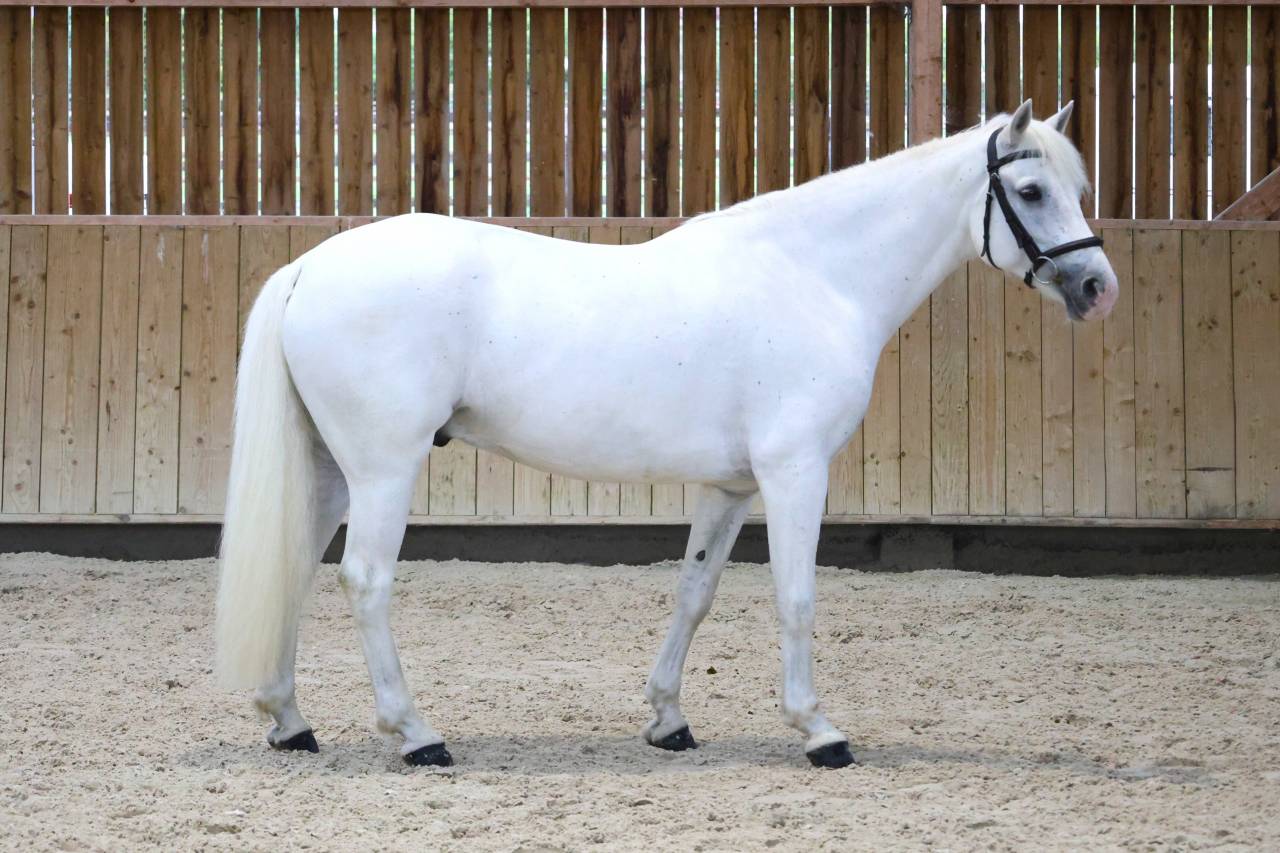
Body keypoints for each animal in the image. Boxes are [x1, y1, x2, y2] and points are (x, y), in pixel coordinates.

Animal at [215, 100, 1117, 769]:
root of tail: (310, 266)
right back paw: (416, 735)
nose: (1097, 286)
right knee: (365, 580)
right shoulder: (795, 472)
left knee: (296, 570)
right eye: (1030, 191)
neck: (814, 276)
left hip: (331, 470)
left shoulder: (732, 485)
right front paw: (819, 730)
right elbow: (796, 596)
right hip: (383, 469)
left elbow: (696, 591)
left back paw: (289, 721)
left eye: (1074, 184)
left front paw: (667, 719)